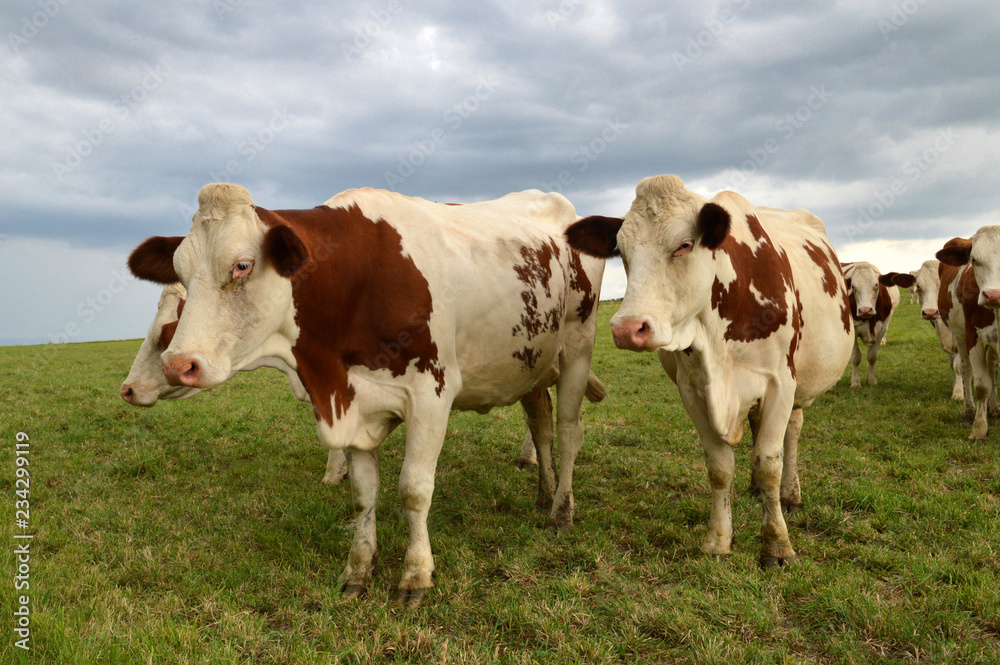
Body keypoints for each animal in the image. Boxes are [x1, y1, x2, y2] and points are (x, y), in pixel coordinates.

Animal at [129, 184, 604, 604]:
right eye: (181, 271)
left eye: (242, 265)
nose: (179, 364)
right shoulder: (354, 402)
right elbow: (363, 494)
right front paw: (358, 570)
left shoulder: (432, 394)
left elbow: (414, 489)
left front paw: (416, 575)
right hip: (530, 365)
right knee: (541, 426)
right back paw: (544, 494)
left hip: (577, 348)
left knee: (567, 431)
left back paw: (561, 512)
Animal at [568, 175, 856, 564]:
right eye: (622, 253)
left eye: (684, 245)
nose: (627, 328)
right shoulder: (692, 389)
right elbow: (719, 467)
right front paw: (718, 541)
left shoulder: (780, 383)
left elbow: (769, 462)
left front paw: (777, 544)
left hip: (798, 384)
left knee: (792, 432)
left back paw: (789, 493)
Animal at [912, 260, 964, 400]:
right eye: (918, 286)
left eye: (943, 284)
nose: (930, 312)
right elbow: (953, 365)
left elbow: (958, 366)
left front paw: (958, 393)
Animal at [936, 230, 1000, 440]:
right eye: (974, 259)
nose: (994, 295)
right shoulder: (974, 337)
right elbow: (981, 385)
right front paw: (979, 428)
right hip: (960, 335)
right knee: (966, 370)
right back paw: (970, 412)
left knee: (992, 370)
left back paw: (994, 408)